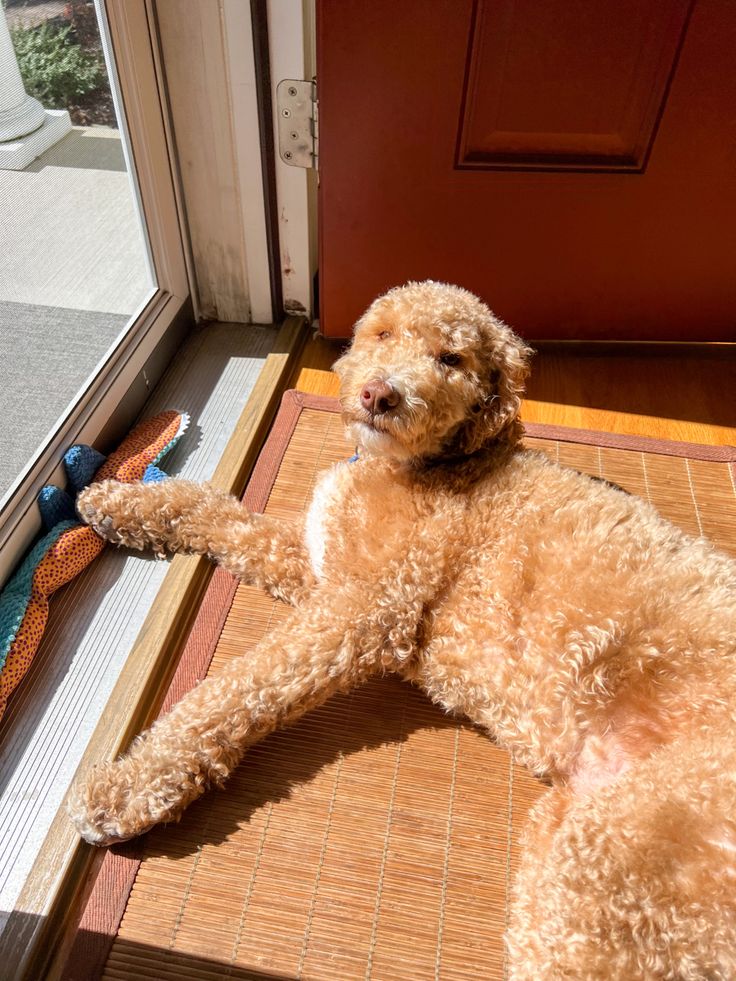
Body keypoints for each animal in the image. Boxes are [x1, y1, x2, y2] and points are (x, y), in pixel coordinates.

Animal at [70, 284, 736, 980]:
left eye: (452, 359)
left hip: (619, 862)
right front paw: (121, 505)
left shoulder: (368, 608)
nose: (379, 395)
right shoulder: (324, 566)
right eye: (382, 334)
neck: (434, 464)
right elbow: (219, 513)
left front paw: (131, 785)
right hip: (573, 855)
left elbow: (236, 689)